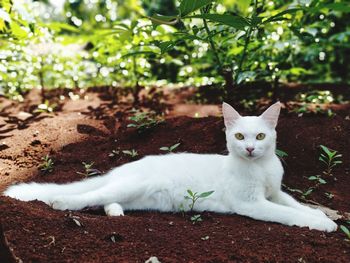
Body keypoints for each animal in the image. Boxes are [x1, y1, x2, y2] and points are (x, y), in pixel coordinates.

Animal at [2, 102, 336, 232]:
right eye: (240, 137)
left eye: (261, 137)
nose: (251, 148)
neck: (261, 167)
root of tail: (123, 169)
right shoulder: (253, 203)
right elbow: (290, 214)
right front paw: (322, 224)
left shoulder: (275, 193)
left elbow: (297, 204)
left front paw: (323, 215)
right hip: (130, 185)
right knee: (88, 196)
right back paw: (62, 203)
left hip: (134, 195)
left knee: (107, 198)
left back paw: (115, 213)